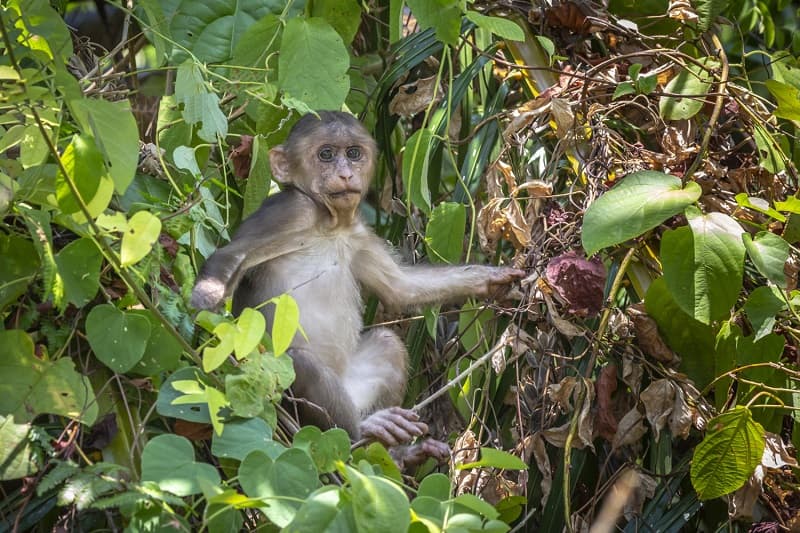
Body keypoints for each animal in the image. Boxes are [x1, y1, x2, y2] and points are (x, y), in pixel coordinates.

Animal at [191, 111, 524, 460]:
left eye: (353, 153)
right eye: (326, 155)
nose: (346, 173)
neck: (329, 224)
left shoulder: (358, 235)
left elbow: (400, 287)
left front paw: (491, 279)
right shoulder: (291, 210)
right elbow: (231, 255)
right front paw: (206, 298)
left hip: (353, 389)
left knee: (388, 343)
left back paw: (397, 454)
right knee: (302, 363)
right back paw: (361, 433)